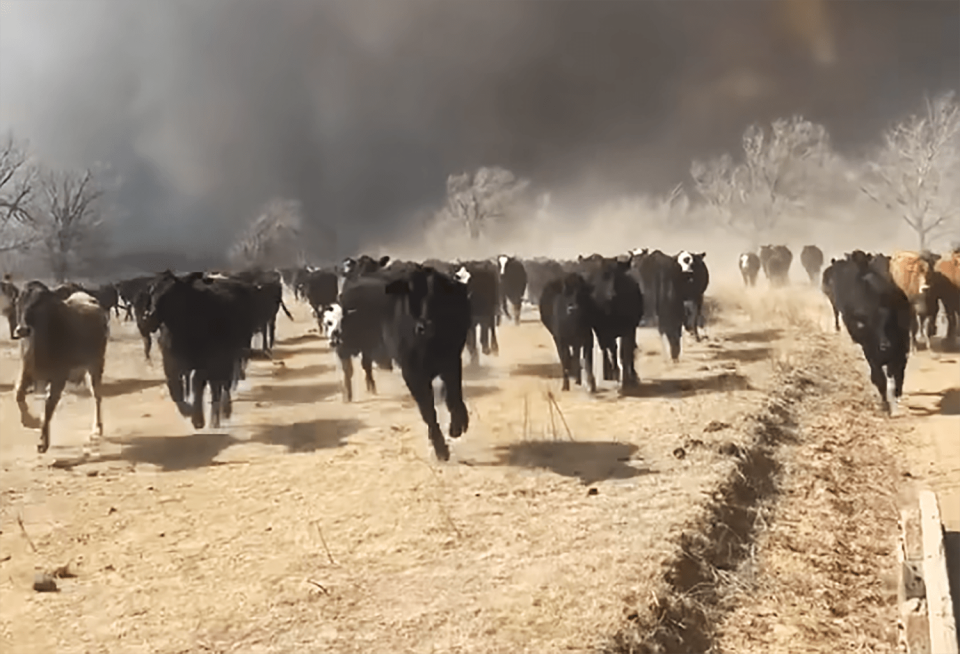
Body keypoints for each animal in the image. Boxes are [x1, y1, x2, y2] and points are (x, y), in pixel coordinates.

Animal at [12, 282, 109, 456]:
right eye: (18, 301)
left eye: (40, 303)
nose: (22, 330)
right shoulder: (27, 370)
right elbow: (18, 394)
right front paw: (32, 421)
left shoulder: (59, 377)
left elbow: (49, 406)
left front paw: (43, 442)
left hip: (96, 365)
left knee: (97, 395)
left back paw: (97, 429)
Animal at [828, 258, 912, 416]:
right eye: (872, 326)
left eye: (890, 323)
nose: (885, 345)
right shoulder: (871, 354)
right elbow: (879, 379)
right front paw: (885, 406)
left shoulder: (900, 351)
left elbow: (897, 374)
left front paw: (895, 397)